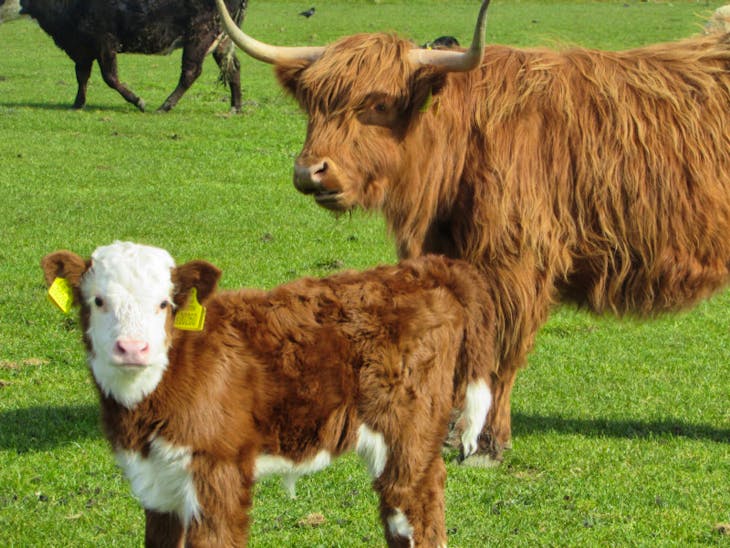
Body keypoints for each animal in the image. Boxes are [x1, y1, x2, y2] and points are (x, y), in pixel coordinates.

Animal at [0, 0, 247, 112]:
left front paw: (138, 100)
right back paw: (236, 106)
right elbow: (82, 76)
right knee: (233, 67)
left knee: (191, 71)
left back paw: (165, 106)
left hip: (200, 35)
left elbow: (110, 77)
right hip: (222, 40)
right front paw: (77, 103)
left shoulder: (105, 41)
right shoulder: (81, 47)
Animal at [41, 241, 497, 546]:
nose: (133, 348)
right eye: (97, 301)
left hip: (408, 430)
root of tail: (428, 270)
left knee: (414, 502)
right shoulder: (156, 483)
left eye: (164, 304)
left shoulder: (219, 470)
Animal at [215, 0, 730, 464]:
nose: (310, 172)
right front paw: (447, 431)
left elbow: (501, 355)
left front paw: (486, 442)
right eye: (313, 105)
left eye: (378, 104)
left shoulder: (516, 266)